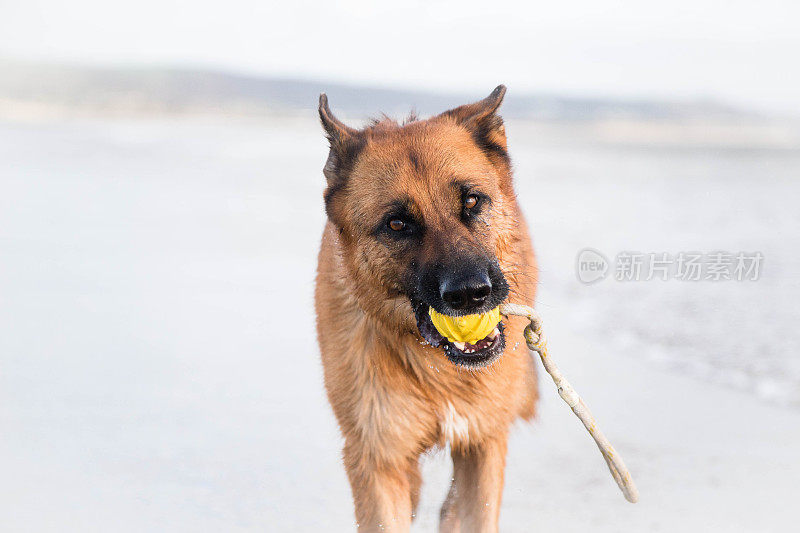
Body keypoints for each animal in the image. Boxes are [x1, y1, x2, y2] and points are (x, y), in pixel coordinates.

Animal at [314, 87, 536, 532]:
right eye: (397, 224)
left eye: (472, 201)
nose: (471, 294)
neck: (435, 366)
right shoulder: (376, 456)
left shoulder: (484, 443)